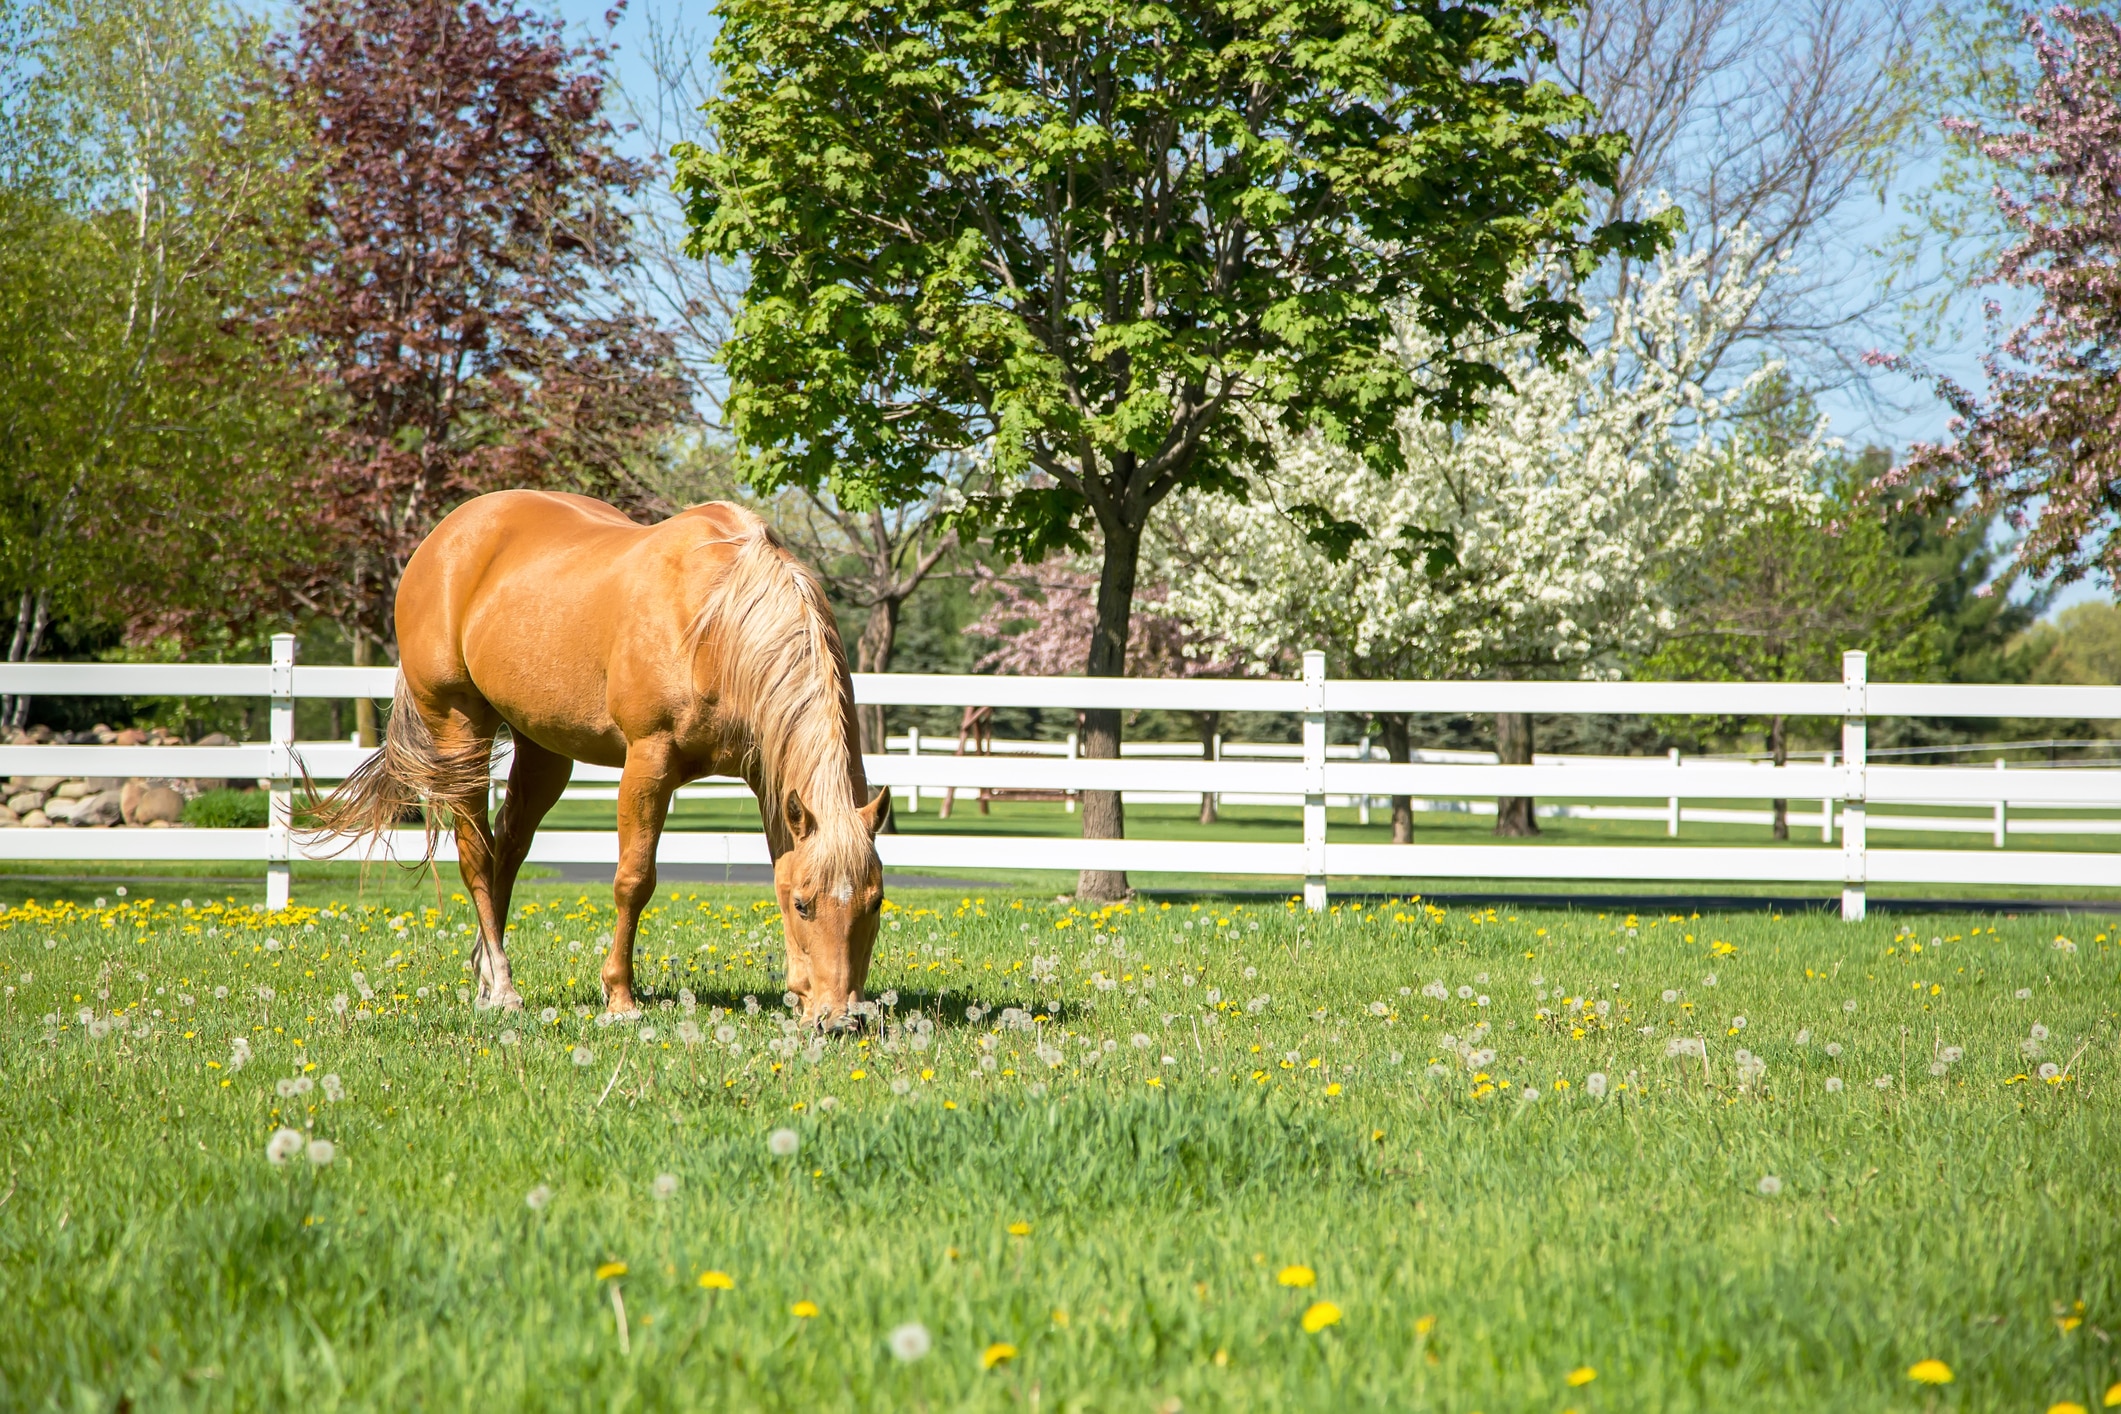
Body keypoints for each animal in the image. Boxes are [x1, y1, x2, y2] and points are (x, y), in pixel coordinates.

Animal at [309, 491, 890, 1021]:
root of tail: (441, 539)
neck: (716, 620)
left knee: (508, 848)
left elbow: (778, 861)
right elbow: (634, 880)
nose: (842, 1018)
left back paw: (484, 977)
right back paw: (502, 986)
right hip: (460, 732)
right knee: (475, 850)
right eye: (804, 904)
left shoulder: (768, 774)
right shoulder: (649, 763)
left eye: (876, 901)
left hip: (543, 750)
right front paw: (620, 998)